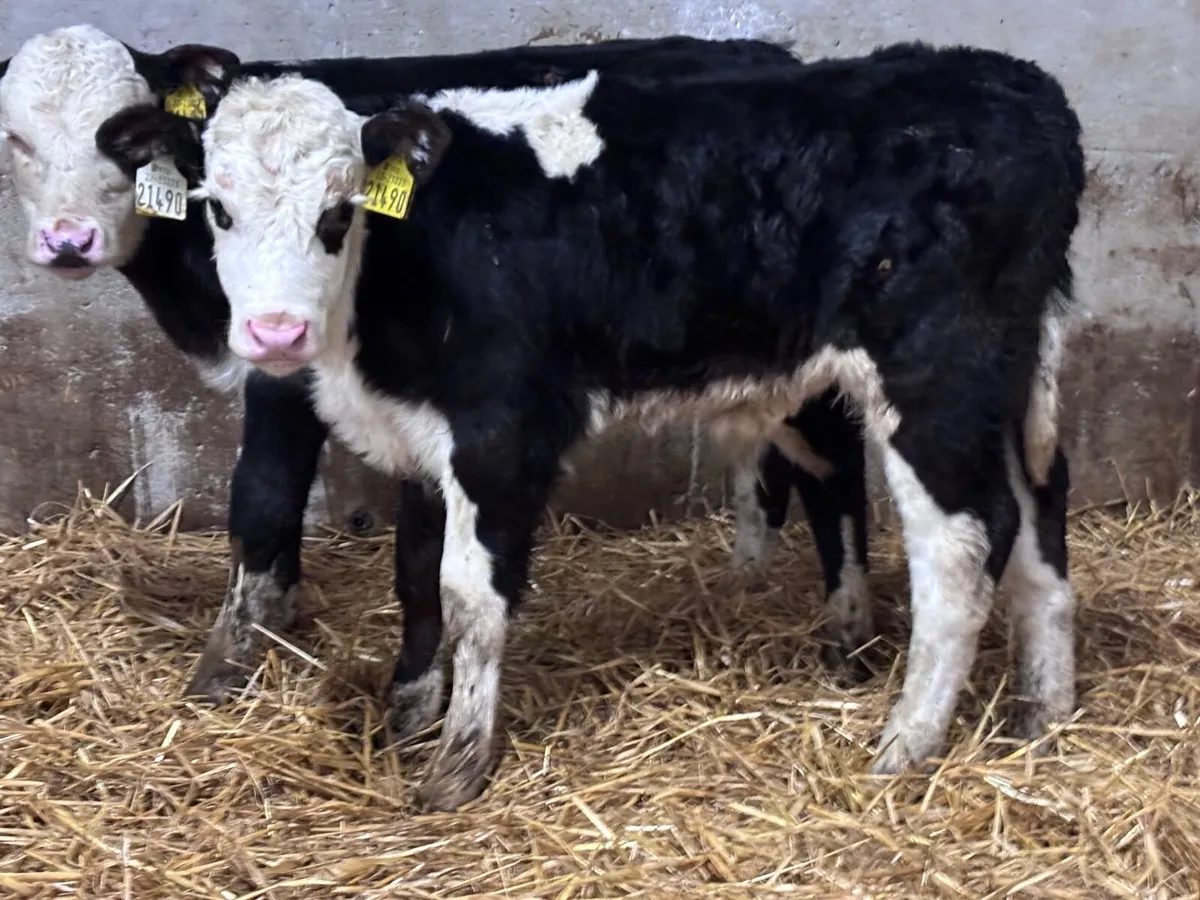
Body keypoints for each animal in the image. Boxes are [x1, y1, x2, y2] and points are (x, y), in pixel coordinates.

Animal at [0, 26, 876, 706]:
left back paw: (846, 637)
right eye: (15, 138)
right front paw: (278, 612)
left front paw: (228, 655)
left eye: (114, 135)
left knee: (831, 470)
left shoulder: (285, 371)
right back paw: (744, 583)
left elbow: (263, 495)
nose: (69, 241)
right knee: (767, 467)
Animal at [173, 41, 1085, 811]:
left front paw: (457, 767)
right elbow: (415, 574)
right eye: (217, 211)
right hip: (1007, 372)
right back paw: (1043, 711)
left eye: (339, 211)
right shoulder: (425, 433)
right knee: (1039, 505)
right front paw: (409, 717)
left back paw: (907, 743)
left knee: (964, 540)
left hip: (937, 373)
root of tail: (1012, 82)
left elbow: (471, 596)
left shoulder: (504, 429)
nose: (275, 334)